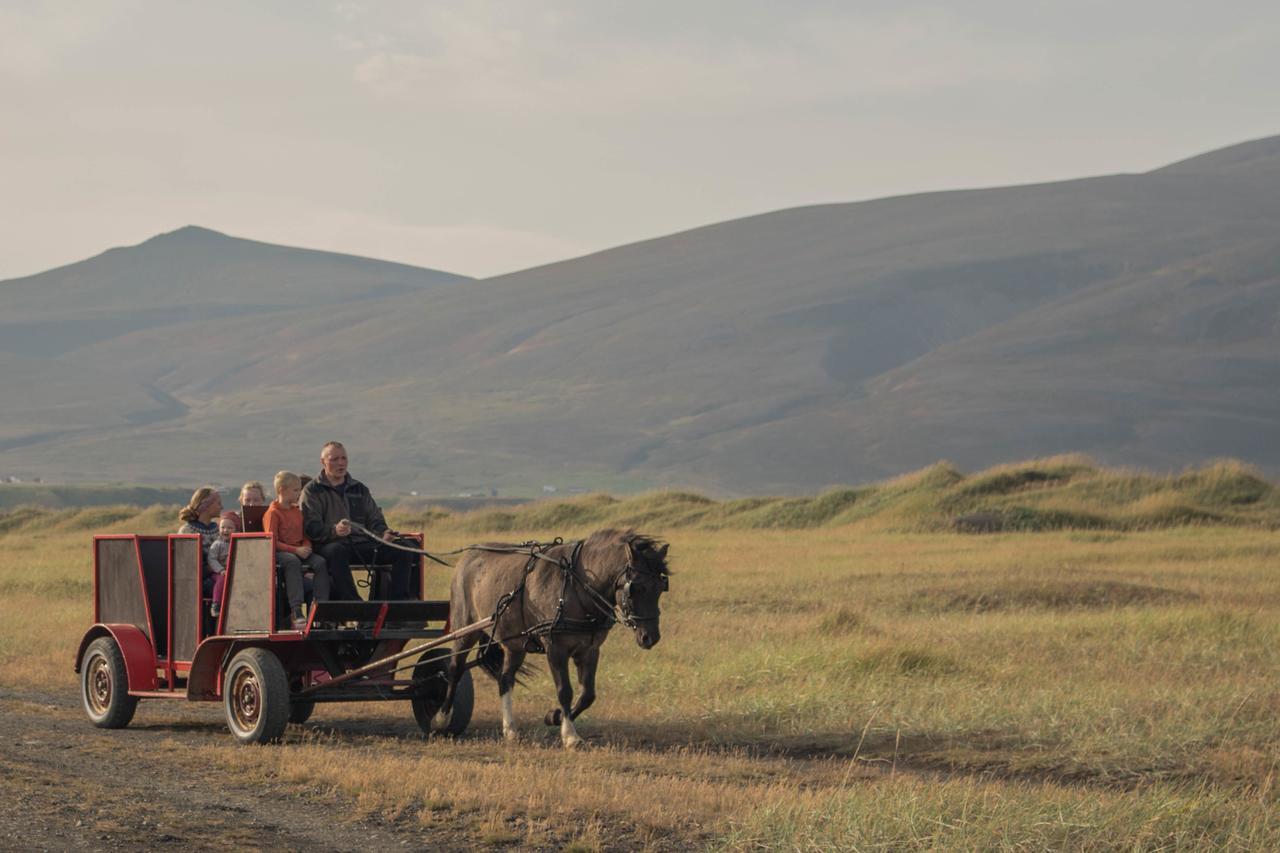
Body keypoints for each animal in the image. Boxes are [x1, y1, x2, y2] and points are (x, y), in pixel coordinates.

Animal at [435, 525, 670, 742]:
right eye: (636, 588)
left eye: (661, 588)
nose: (650, 637)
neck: (577, 584)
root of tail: (468, 556)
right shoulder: (555, 648)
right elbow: (564, 690)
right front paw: (570, 735)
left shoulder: (589, 649)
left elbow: (587, 694)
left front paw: (554, 717)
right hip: (464, 628)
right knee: (455, 669)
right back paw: (442, 717)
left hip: (515, 644)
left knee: (505, 679)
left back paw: (510, 730)